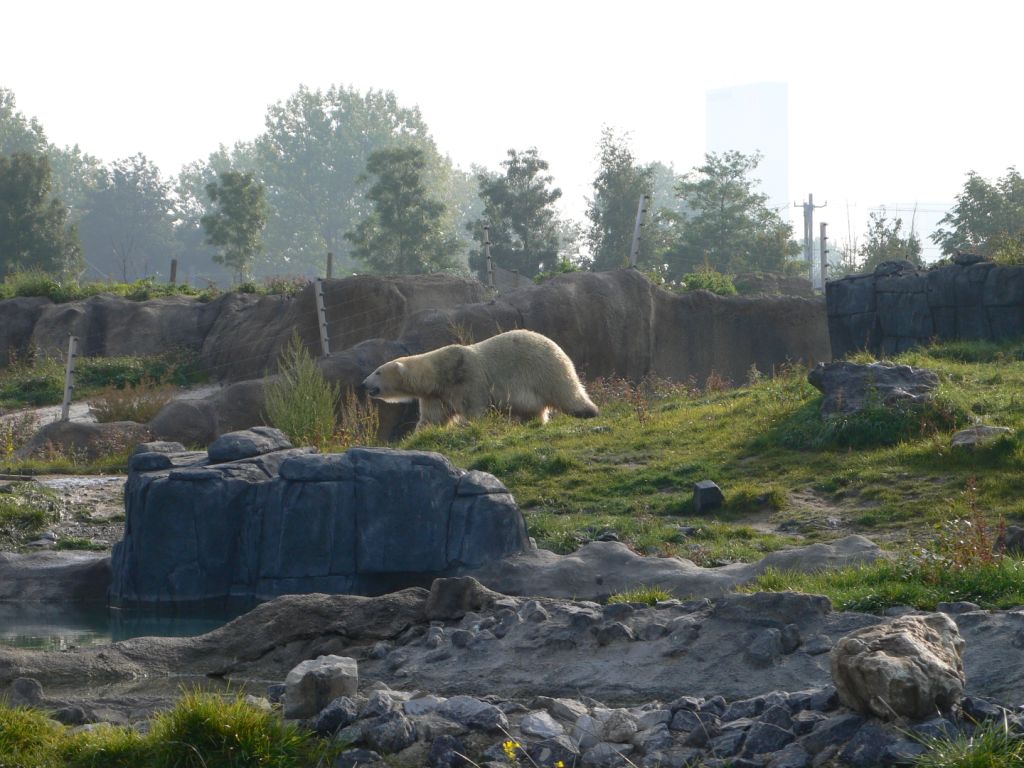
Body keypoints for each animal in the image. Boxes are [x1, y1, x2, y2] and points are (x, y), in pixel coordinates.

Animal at [361, 329, 599, 430]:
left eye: (377, 372)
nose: (364, 384)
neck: (441, 372)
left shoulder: (467, 378)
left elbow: (474, 407)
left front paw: (470, 424)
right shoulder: (436, 394)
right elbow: (432, 418)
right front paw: (420, 434)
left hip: (544, 368)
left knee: (567, 392)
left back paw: (588, 411)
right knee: (534, 409)